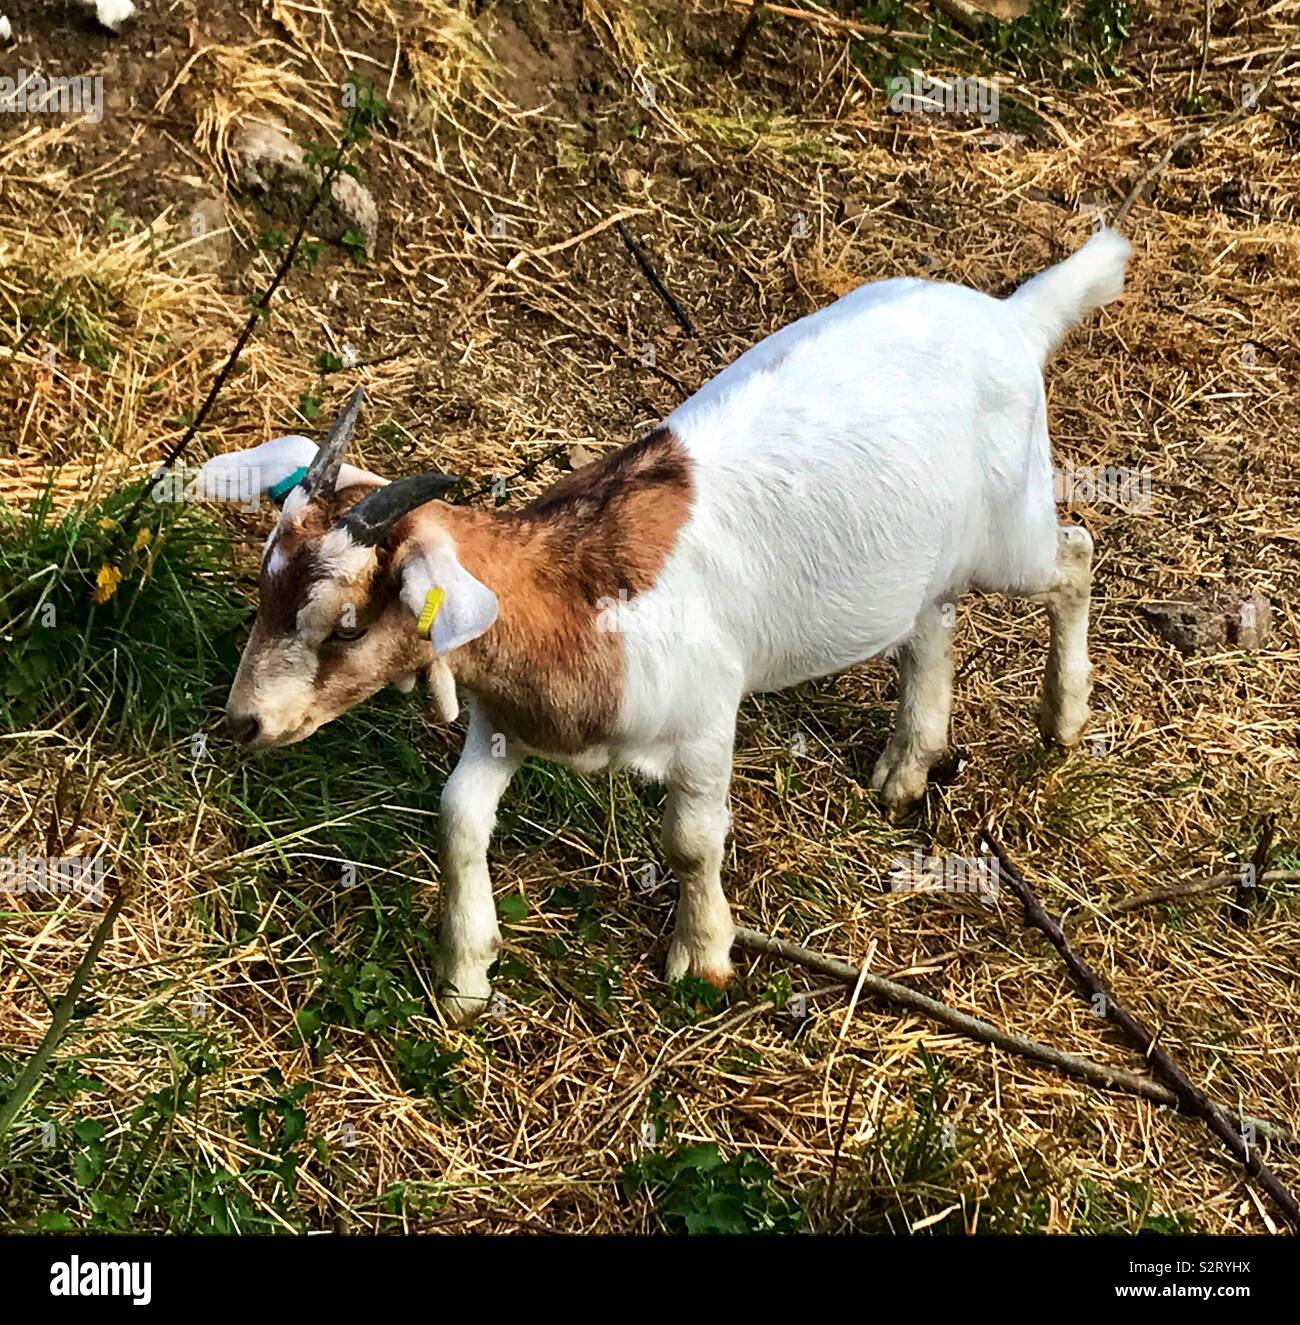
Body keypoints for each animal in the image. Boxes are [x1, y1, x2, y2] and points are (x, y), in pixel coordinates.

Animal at [203, 228, 1131, 1023]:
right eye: (266, 585)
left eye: (346, 624)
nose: (242, 721)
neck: (576, 594)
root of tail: (1011, 318)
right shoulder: (509, 721)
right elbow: (458, 817)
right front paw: (466, 976)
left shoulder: (705, 720)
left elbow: (689, 840)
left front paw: (703, 955)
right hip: (927, 561)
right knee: (933, 622)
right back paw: (907, 767)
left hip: (1010, 531)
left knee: (1075, 556)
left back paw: (1063, 717)